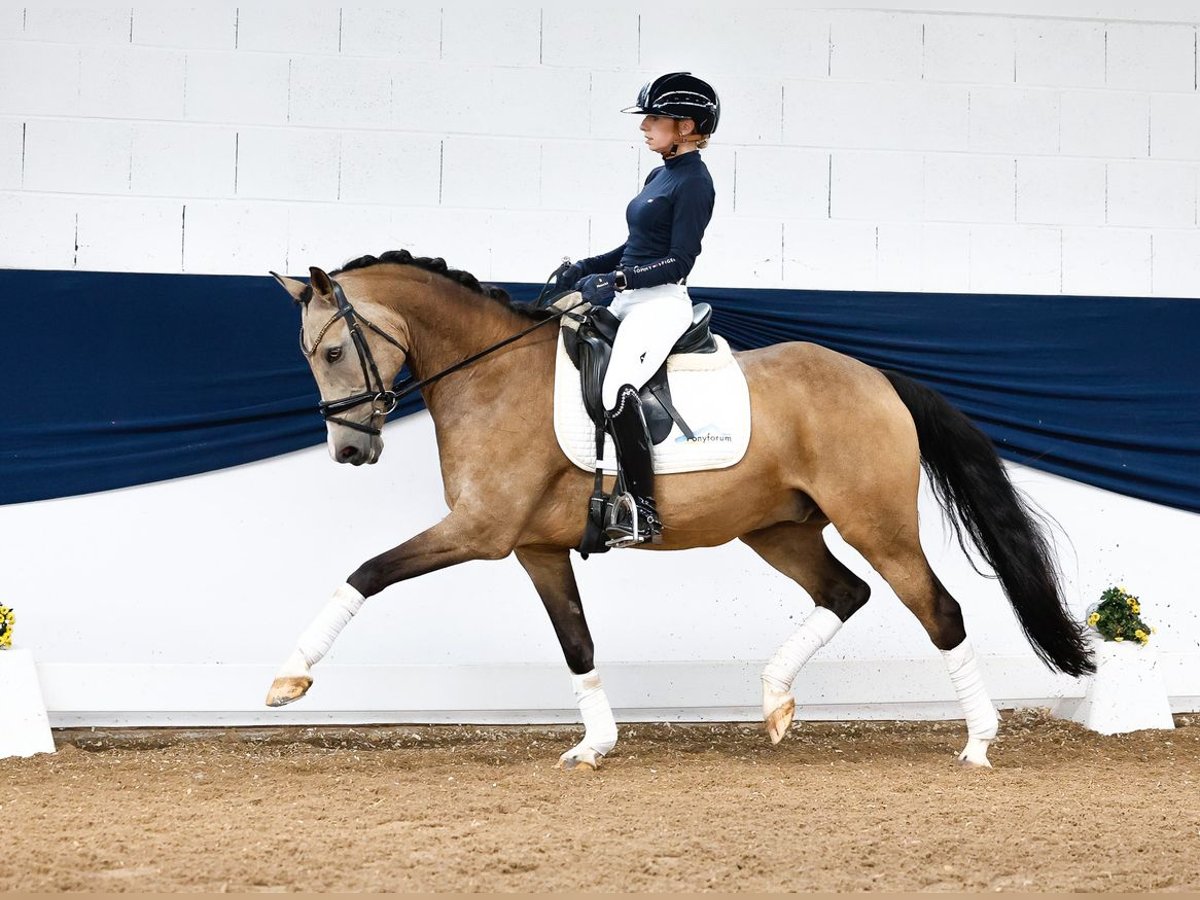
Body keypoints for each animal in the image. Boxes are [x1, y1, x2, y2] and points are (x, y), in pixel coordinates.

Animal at [267, 250, 1094, 772]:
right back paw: (775, 700)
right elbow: (577, 642)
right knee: (844, 591)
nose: (350, 450)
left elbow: (368, 572)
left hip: (877, 524)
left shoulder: (479, 531)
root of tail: (879, 378)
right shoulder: (535, 547)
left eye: (333, 352)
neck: (492, 373)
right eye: (309, 354)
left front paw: (290, 677)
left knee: (938, 610)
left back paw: (979, 743)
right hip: (777, 528)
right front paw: (594, 746)